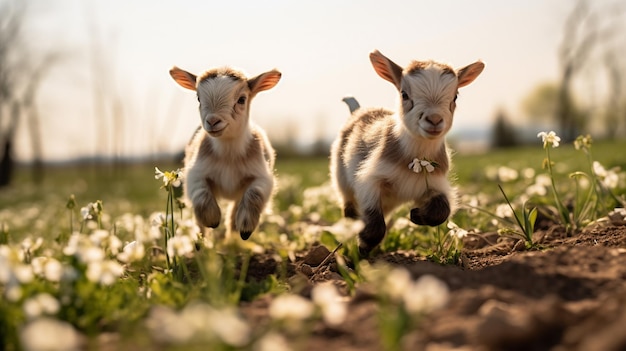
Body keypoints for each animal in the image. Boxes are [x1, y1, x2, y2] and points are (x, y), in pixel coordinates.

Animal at [168, 65, 280, 242]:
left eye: (241, 99)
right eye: (198, 98)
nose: (213, 121)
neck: (229, 155)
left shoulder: (263, 177)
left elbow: (254, 194)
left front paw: (246, 228)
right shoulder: (195, 174)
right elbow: (201, 196)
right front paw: (212, 220)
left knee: (234, 212)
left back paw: (233, 239)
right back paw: (200, 242)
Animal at [330, 50, 486, 256]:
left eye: (455, 97)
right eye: (404, 94)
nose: (434, 120)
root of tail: (358, 110)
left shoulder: (433, 184)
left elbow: (442, 211)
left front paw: (416, 215)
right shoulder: (370, 181)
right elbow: (375, 225)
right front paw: (363, 248)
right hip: (341, 180)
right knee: (349, 210)